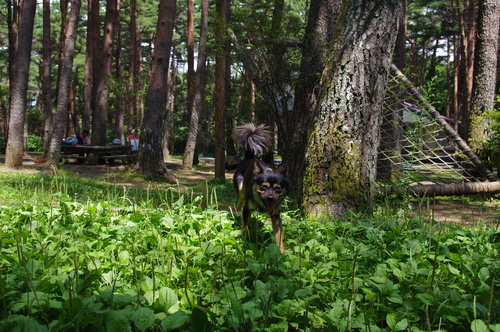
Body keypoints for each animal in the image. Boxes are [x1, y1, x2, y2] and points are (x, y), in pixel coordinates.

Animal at [231, 123, 288, 253]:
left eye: (278, 188)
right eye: (263, 187)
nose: (271, 198)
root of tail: (249, 158)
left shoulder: (276, 216)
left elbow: (279, 236)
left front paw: (282, 253)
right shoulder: (247, 209)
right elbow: (245, 226)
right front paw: (245, 241)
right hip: (240, 187)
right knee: (241, 199)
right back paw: (237, 211)